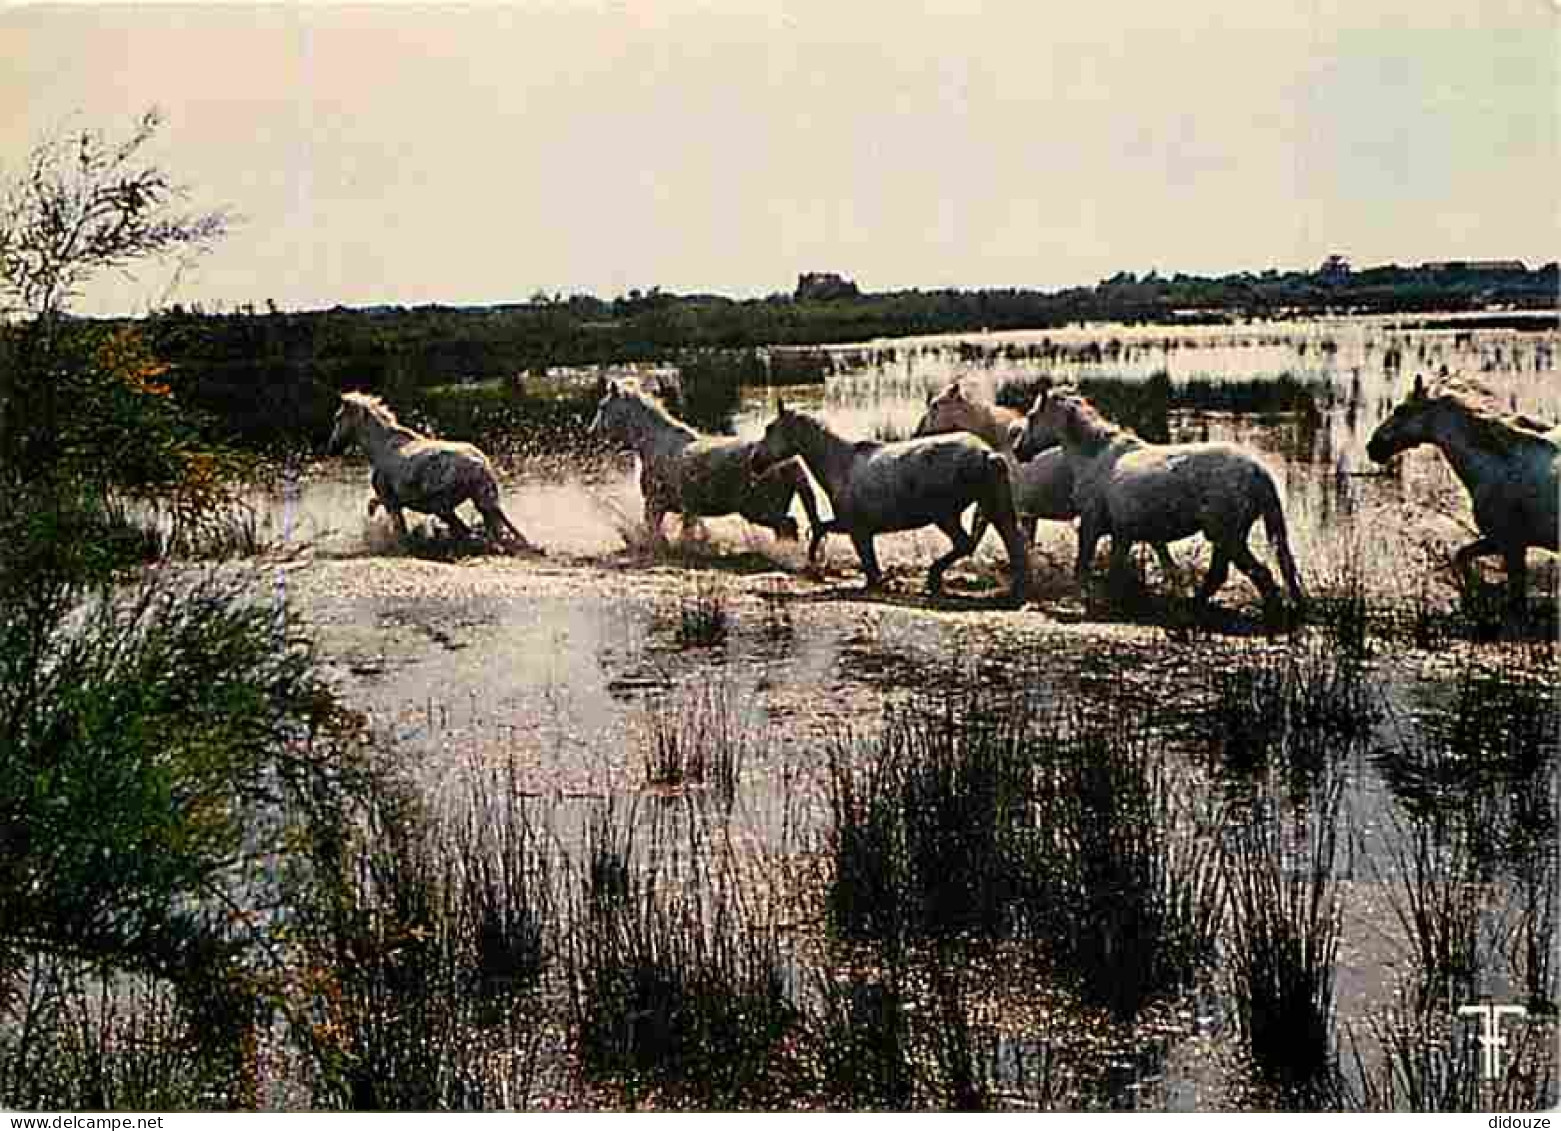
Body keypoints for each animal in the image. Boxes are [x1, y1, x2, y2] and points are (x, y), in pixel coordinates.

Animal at [326, 390, 540, 552]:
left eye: (338, 418)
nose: (331, 448)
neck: (383, 446)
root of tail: (480, 465)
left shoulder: (391, 501)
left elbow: (393, 524)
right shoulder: (394, 501)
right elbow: (378, 509)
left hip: (443, 508)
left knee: (470, 532)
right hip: (481, 503)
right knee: (490, 531)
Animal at [749, 402, 1030, 605]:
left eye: (770, 428)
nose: (754, 460)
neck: (842, 464)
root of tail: (987, 453)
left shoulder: (857, 530)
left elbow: (867, 564)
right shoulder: (854, 527)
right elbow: (823, 529)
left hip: (946, 515)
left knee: (968, 544)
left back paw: (934, 580)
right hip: (993, 508)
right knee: (1011, 545)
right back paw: (1013, 592)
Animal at [1011, 385, 1304, 617]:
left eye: (1032, 416)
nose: (1018, 451)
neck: (1095, 457)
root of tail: (1258, 470)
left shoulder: (1091, 526)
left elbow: (1083, 567)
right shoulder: (1122, 534)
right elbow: (1115, 569)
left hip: (1227, 536)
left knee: (1259, 573)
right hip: (1225, 538)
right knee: (1223, 575)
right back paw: (1194, 605)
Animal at [1367, 374, 1561, 608]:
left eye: (1400, 410)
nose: (1372, 447)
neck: (1498, 465)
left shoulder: (1510, 544)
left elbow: (1517, 602)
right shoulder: (1498, 541)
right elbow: (1461, 555)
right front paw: (1472, 594)